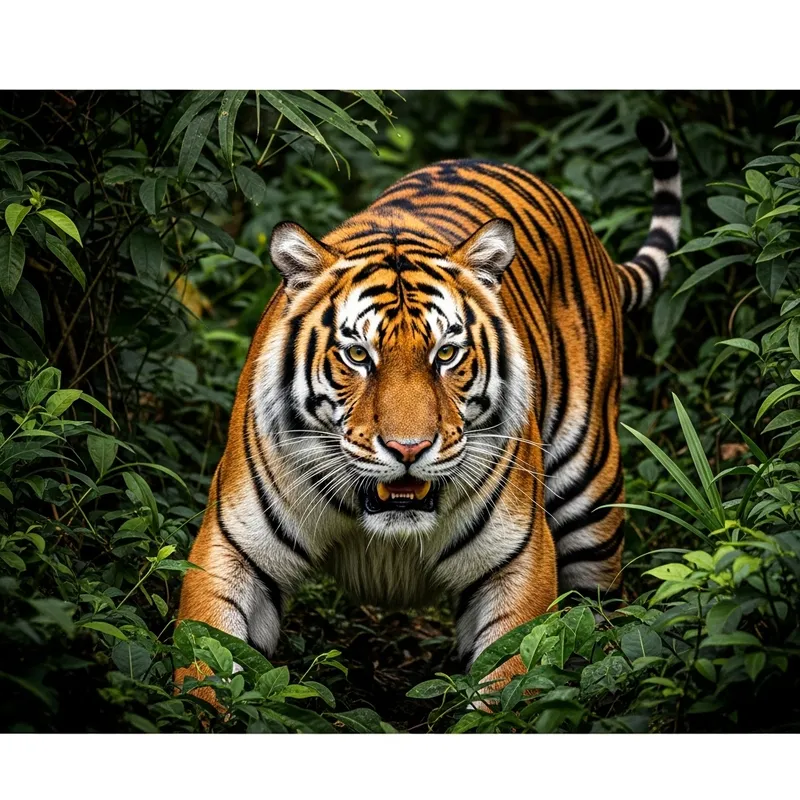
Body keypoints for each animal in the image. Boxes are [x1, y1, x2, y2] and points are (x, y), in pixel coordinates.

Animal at [176, 116, 681, 690]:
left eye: (446, 354)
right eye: (357, 354)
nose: (408, 449)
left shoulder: (518, 563)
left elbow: (512, 680)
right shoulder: (227, 552)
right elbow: (202, 666)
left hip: (592, 497)